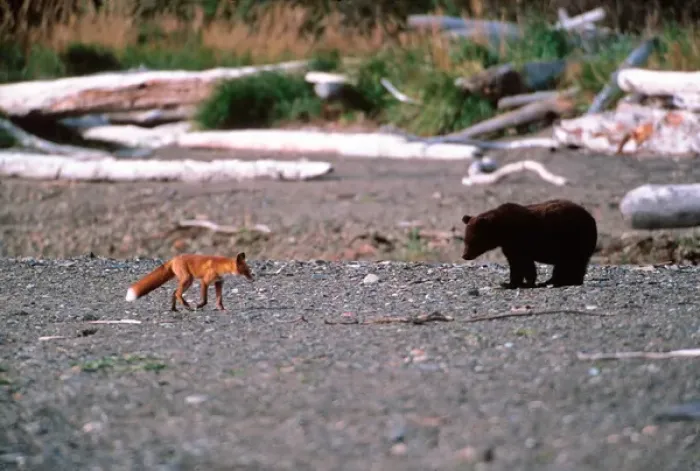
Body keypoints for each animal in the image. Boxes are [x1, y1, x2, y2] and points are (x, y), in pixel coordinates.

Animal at [125, 253, 254, 312]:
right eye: (246, 271)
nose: (254, 279)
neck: (222, 267)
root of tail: (174, 258)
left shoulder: (219, 283)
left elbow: (219, 299)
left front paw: (222, 309)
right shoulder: (204, 281)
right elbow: (205, 300)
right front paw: (199, 305)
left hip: (189, 281)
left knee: (174, 292)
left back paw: (174, 309)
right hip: (187, 279)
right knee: (177, 293)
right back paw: (187, 306)